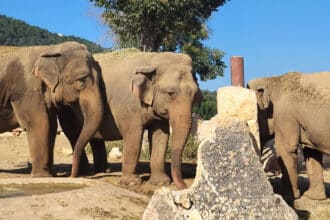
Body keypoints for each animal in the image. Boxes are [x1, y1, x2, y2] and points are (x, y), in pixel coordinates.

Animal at [0, 41, 105, 177]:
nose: (72, 175)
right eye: (81, 80)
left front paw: (51, 174)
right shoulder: (27, 88)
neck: (50, 49)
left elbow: (52, 125)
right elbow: (40, 123)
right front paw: (41, 176)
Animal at [61, 50, 201, 189]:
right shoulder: (128, 105)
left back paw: (103, 171)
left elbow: (161, 136)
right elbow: (134, 137)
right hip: (67, 107)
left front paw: (160, 182)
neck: (152, 59)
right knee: (73, 133)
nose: (184, 186)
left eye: (195, 95)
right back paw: (84, 173)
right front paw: (131, 183)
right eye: (170, 93)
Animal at [248, 72, 330, 201]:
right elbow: (311, 152)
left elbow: (285, 149)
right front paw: (313, 197)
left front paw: (288, 196)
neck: (274, 79)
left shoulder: (284, 115)